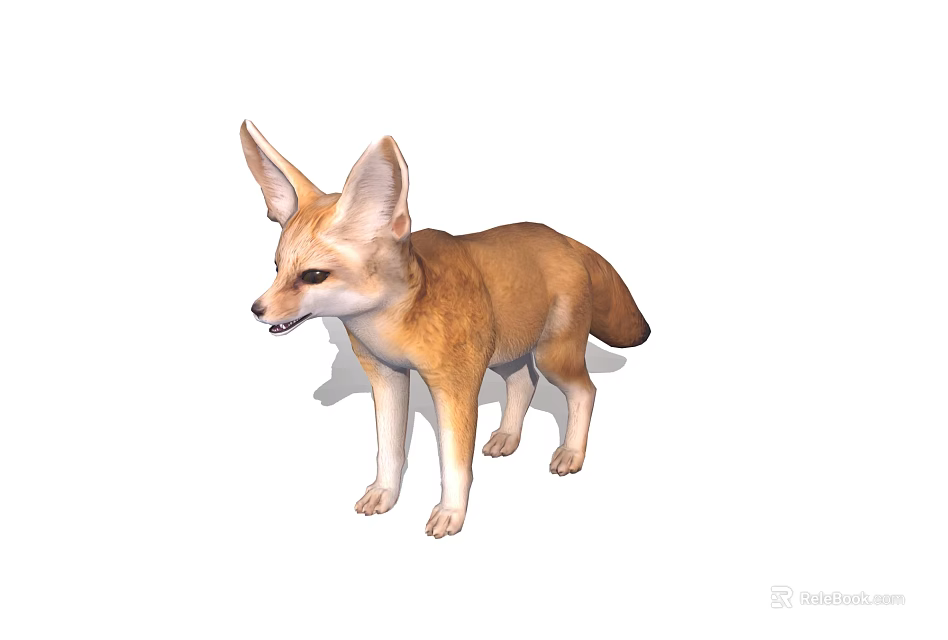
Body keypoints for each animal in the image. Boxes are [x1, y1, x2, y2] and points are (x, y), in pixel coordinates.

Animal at [241, 120, 650, 538]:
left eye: (313, 276)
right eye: (277, 268)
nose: (257, 310)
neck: (397, 322)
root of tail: (562, 237)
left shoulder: (456, 386)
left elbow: (454, 462)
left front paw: (451, 513)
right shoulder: (386, 375)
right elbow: (389, 450)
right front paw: (385, 493)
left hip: (552, 357)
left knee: (585, 391)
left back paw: (571, 452)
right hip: (504, 353)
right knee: (524, 382)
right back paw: (508, 437)